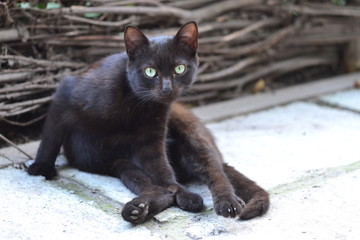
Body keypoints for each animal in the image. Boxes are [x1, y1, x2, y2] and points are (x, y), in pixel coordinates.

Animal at [28, 21, 268, 224]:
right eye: (150, 71)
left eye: (179, 69)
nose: (167, 89)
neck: (134, 103)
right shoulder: (65, 94)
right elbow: (50, 138)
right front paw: (41, 168)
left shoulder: (151, 138)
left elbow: (163, 171)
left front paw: (185, 195)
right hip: (112, 161)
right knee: (151, 186)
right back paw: (138, 209)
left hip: (191, 136)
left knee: (214, 170)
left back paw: (226, 202)